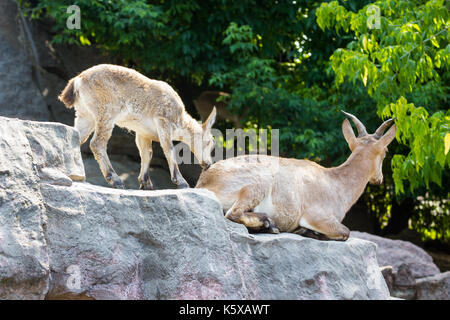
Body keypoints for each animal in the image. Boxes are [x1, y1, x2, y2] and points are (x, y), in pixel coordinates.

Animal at [58, 63, 216, 189]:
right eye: (210, 142)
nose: (208, 164)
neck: (180, 119)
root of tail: (78, 80)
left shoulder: (143, 132)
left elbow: (147, 153)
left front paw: (146, 184)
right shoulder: (163, 120)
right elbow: (168, 149)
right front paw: (181, 182)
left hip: (86, 115)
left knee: (76, 137)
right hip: (106, 112)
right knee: (97, 143)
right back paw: (115, 180)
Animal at [195, 112, 396, 240]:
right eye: (386, 152)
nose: (379, 179)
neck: (336, 183)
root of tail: (205, 181)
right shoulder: (317, 216)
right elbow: (345, 232)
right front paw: (306, 232)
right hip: (258, 183)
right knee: (232, 213)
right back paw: (269, 224)